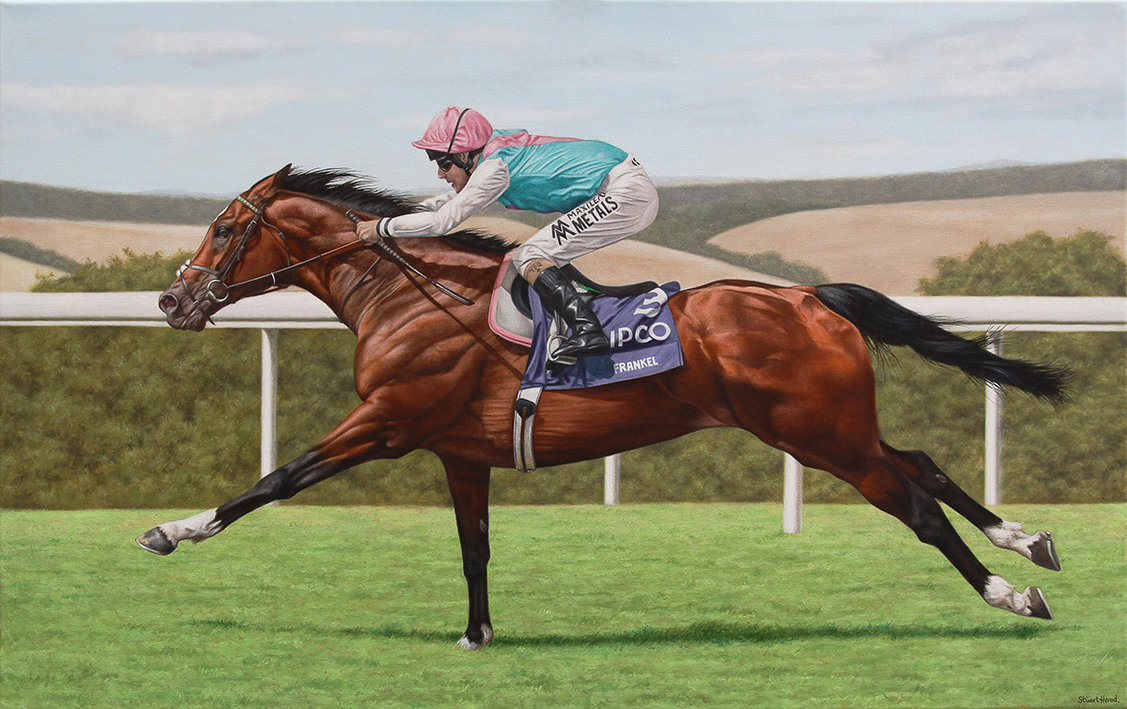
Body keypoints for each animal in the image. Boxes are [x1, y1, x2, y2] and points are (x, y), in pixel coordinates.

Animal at [138, 165, 1068, 650]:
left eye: (225, 229)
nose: (172, 301)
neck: (412, 295)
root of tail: (809, 296)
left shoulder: (388, 420)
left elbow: (276, 478)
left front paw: (174, 529)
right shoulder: (457, 449)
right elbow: (473, 547)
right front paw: (477, 634)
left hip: (816, 434)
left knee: (915, 501)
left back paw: (1010, 593)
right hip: (832, 427)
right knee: (925, 465)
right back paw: (1028, 540)